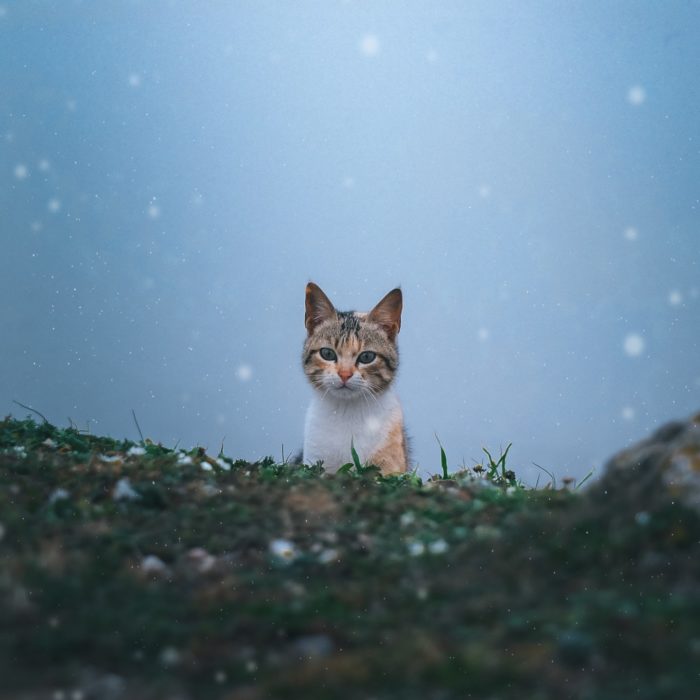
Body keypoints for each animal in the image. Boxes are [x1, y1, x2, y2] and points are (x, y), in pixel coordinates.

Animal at [302, 282, 410, 474]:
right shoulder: (314, 458)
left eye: (366, 357)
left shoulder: (390, 462)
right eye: (327, 353)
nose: (344, 374)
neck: (347, 411)